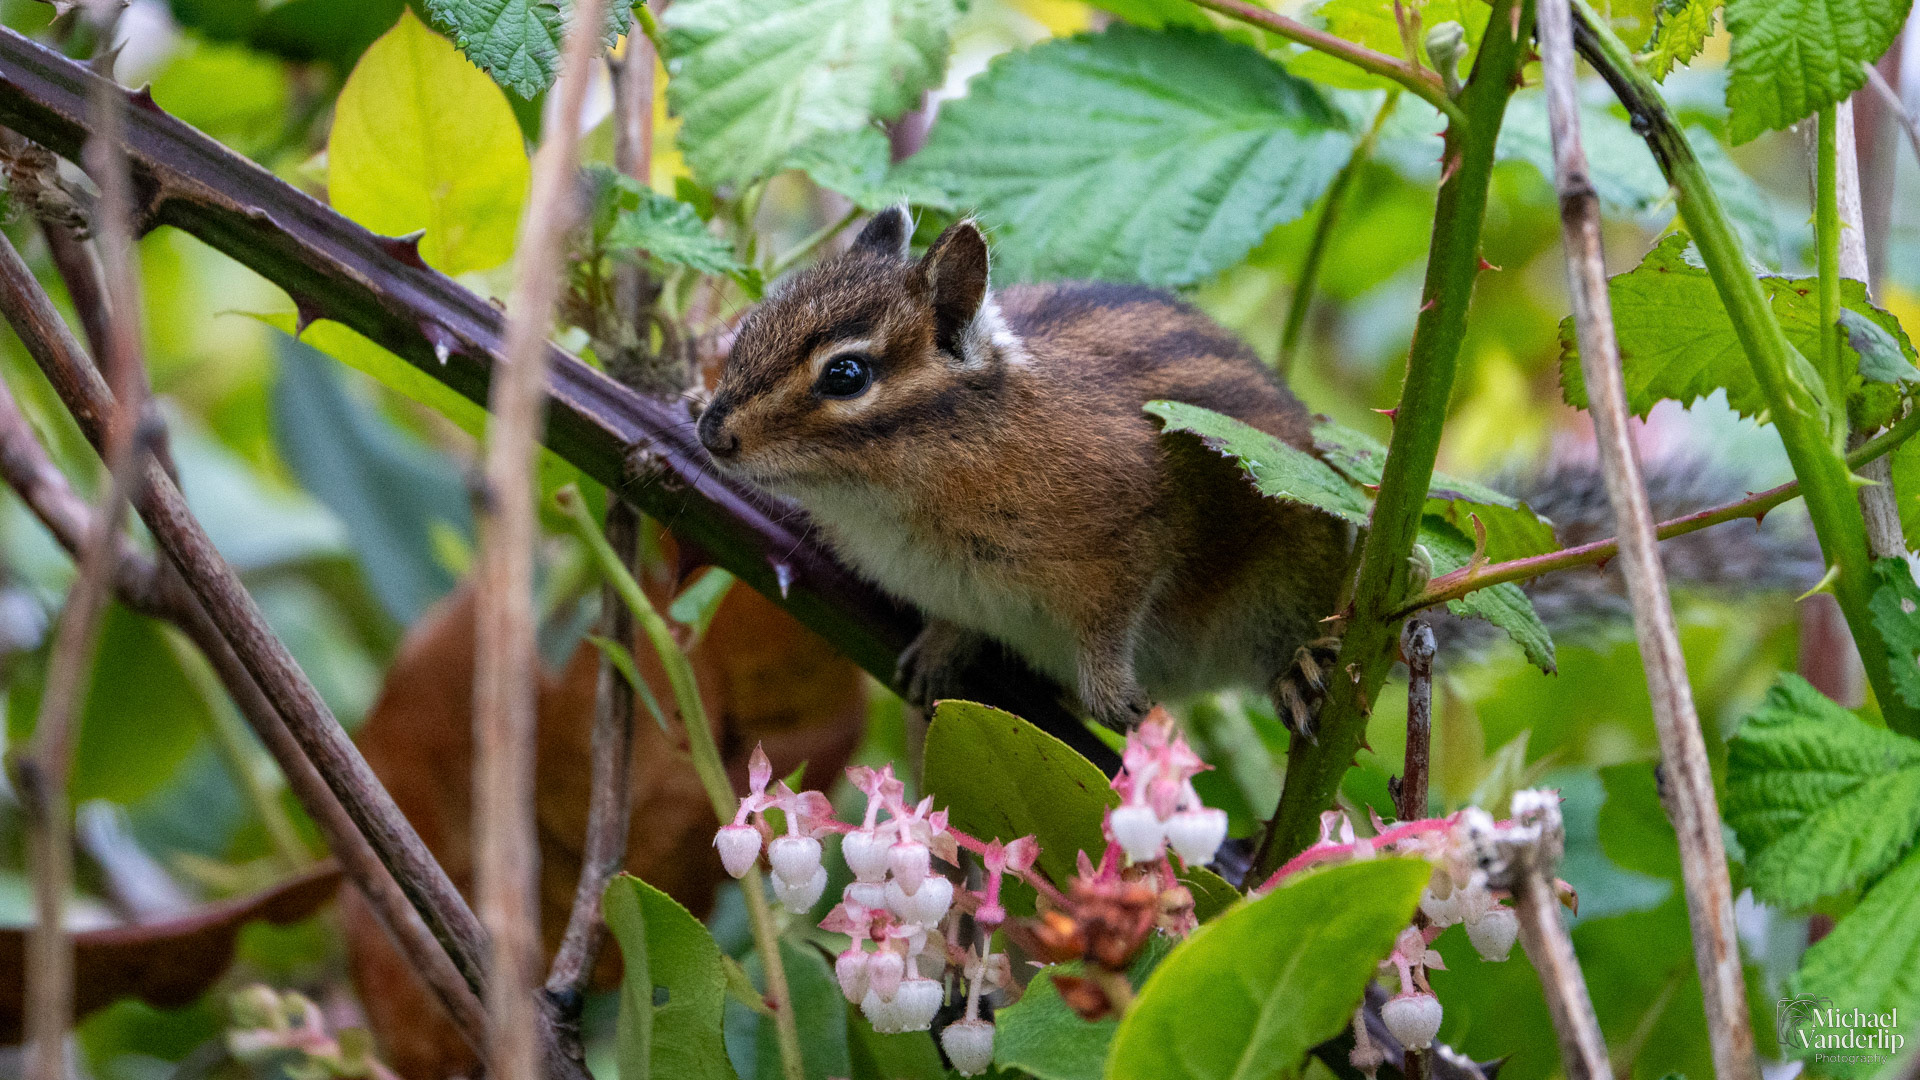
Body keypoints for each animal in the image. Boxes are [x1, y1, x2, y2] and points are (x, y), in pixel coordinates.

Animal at [695, 207, 1816, 734]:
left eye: (846, 375)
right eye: (753, 321)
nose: (709, 433)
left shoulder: (1130, 518)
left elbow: (1115, 610)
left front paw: (1107, 688)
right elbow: (950, 618)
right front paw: (937, 650)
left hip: (1293, 579)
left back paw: (1307, 666)